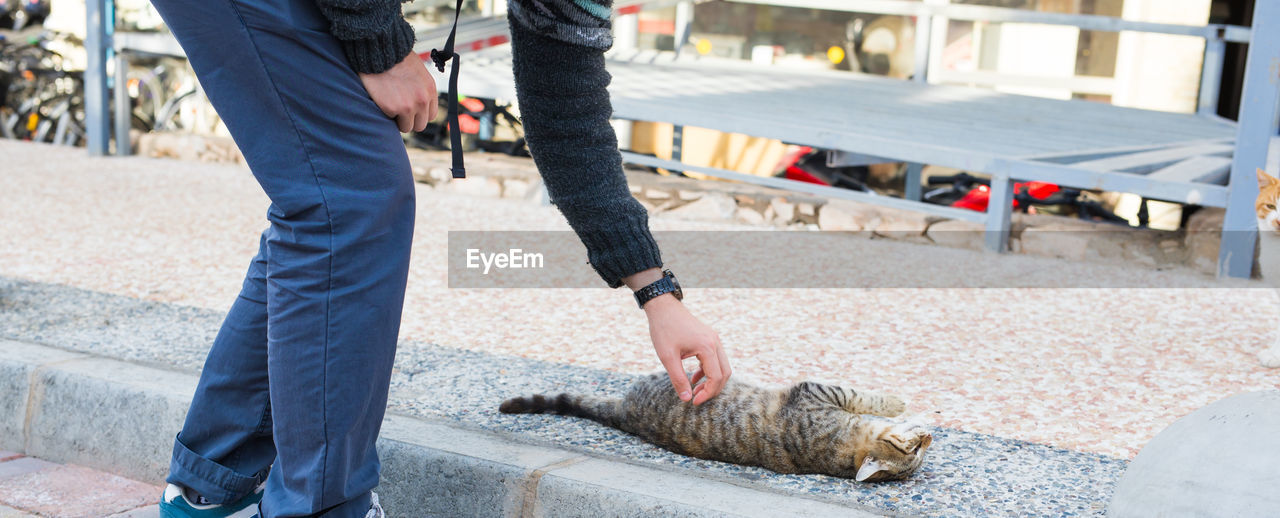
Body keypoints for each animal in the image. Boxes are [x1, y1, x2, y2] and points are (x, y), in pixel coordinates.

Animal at [499, 370, 931, 480]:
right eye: (915, 450)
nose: (930, 437)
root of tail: (624, 412)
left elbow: (864, 398)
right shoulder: (817, 392)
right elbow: (864, 396)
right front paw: (897, 402)